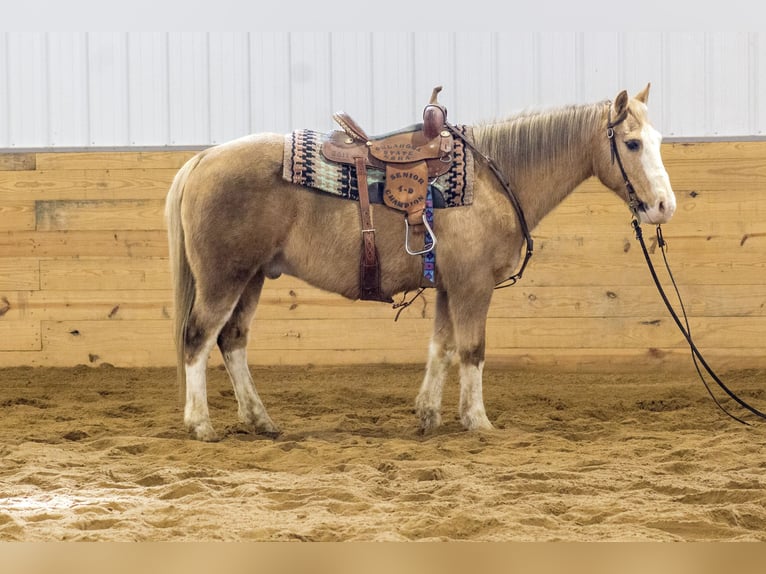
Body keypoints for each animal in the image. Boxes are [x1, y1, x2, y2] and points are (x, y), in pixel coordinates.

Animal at [165, 83, 676, 440]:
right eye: (632, 143)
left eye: (657, 139)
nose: (663, 206)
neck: (491, 179)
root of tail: (202, 160)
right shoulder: (473, 285)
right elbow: (472, 350)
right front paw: (477, 421)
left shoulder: (450, 286)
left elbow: (442, 348)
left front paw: (428, 415)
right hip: (223, 279)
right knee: (198, 338)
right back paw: (201, 425)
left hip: (251, 277)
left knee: (232, 341)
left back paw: (260, 420)